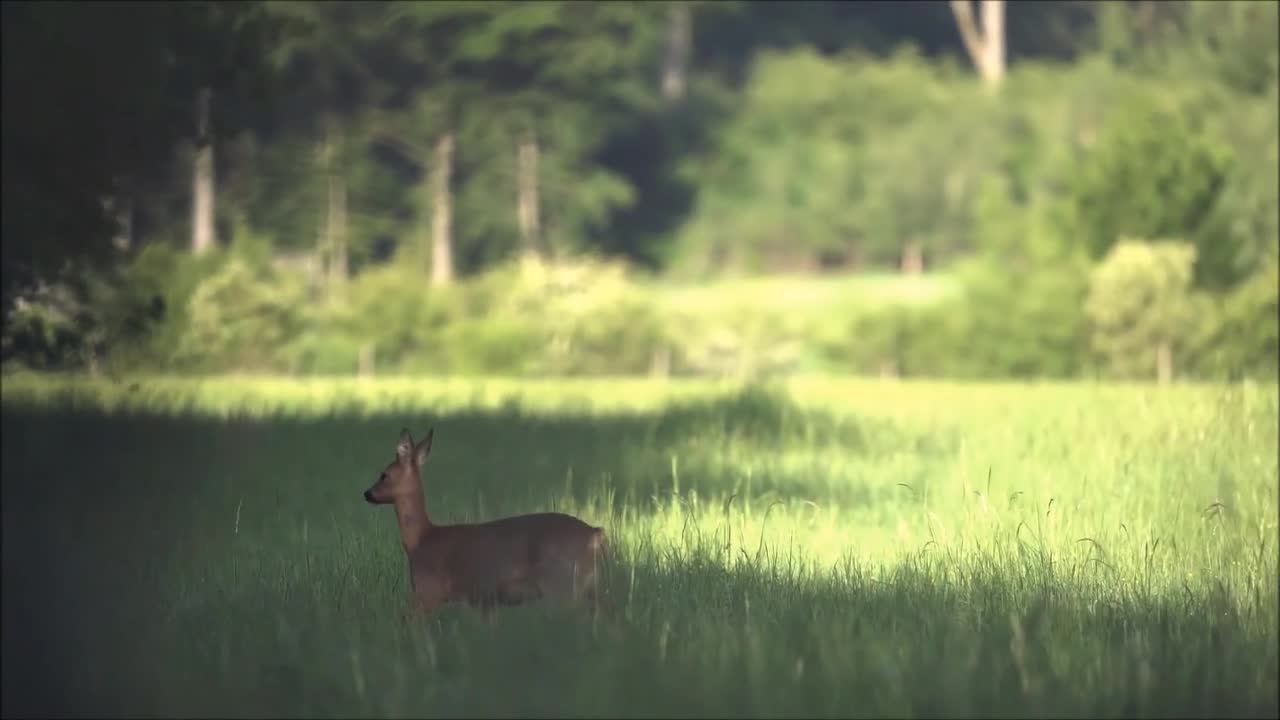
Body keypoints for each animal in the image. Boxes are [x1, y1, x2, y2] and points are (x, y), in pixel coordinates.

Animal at [363, 425, 606, 617]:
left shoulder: (428, 591)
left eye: (383, 474)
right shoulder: (483, 601)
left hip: (562, 585)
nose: (367, 493)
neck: (421, 539)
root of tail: (594, 534)